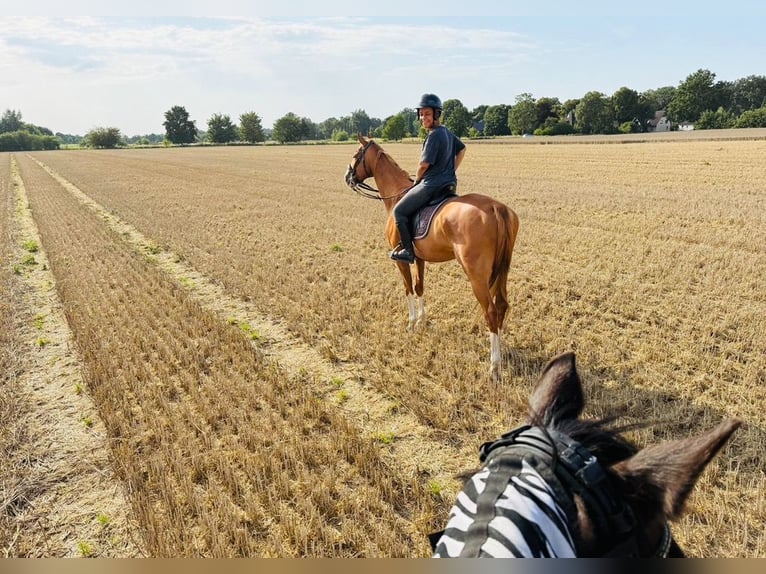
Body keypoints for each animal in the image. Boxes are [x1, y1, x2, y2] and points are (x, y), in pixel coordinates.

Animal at [344, 135, 520, 381]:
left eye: (356, 154)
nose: (348, 177)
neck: (397, 194)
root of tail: (497, 208)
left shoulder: (401, 260)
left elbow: (408, 288)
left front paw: (411, 324)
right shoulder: (419, 259)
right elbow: (419, 288)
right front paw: (422, 321)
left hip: (476, 276)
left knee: (492, 312)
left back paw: (494, 366)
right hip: (502, 270)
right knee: (502, 306)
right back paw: (501, 354)